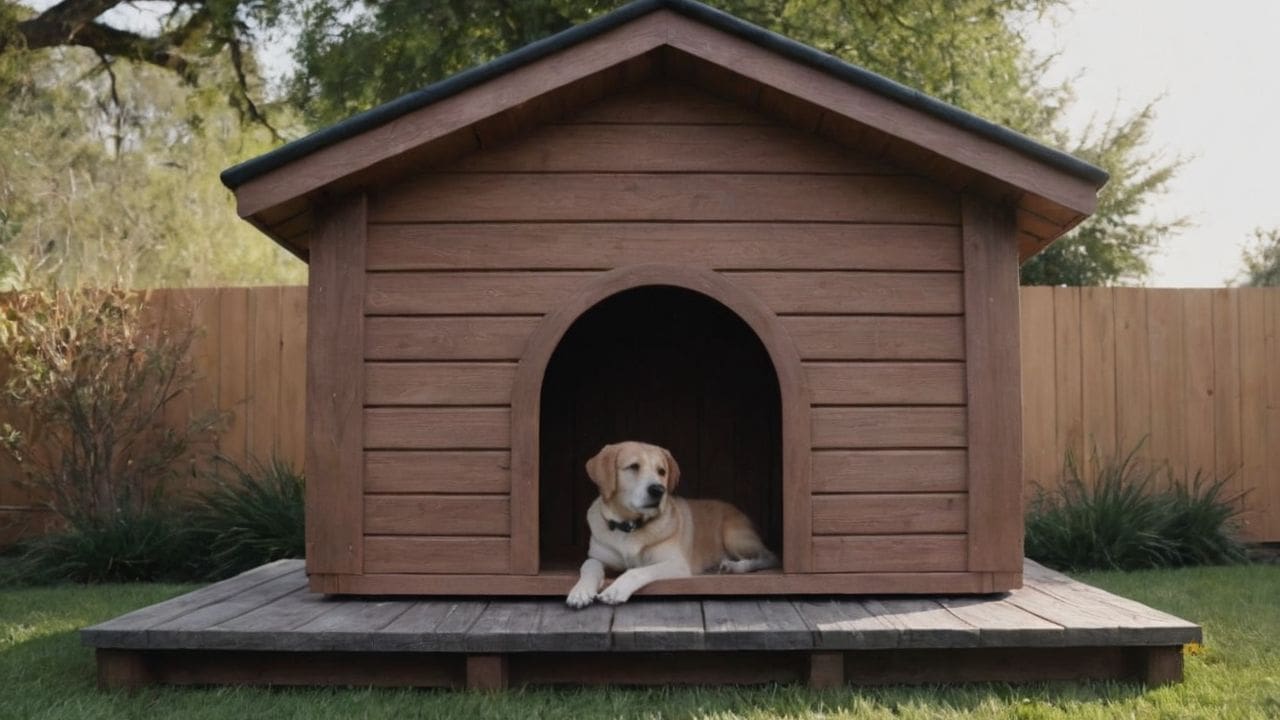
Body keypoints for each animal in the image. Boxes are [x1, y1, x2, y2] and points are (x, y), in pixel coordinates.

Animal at [565, 440, 773, 602]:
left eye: (661, 471)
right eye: (633, 467)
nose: (658, 490)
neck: (630, 526)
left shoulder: (676, 564)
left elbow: (636, 571)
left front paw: (616, 589)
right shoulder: (597, 558)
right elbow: (588, 566)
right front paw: (580, 592)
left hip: (733, 536)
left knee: (768, 557)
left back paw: (735, 566)